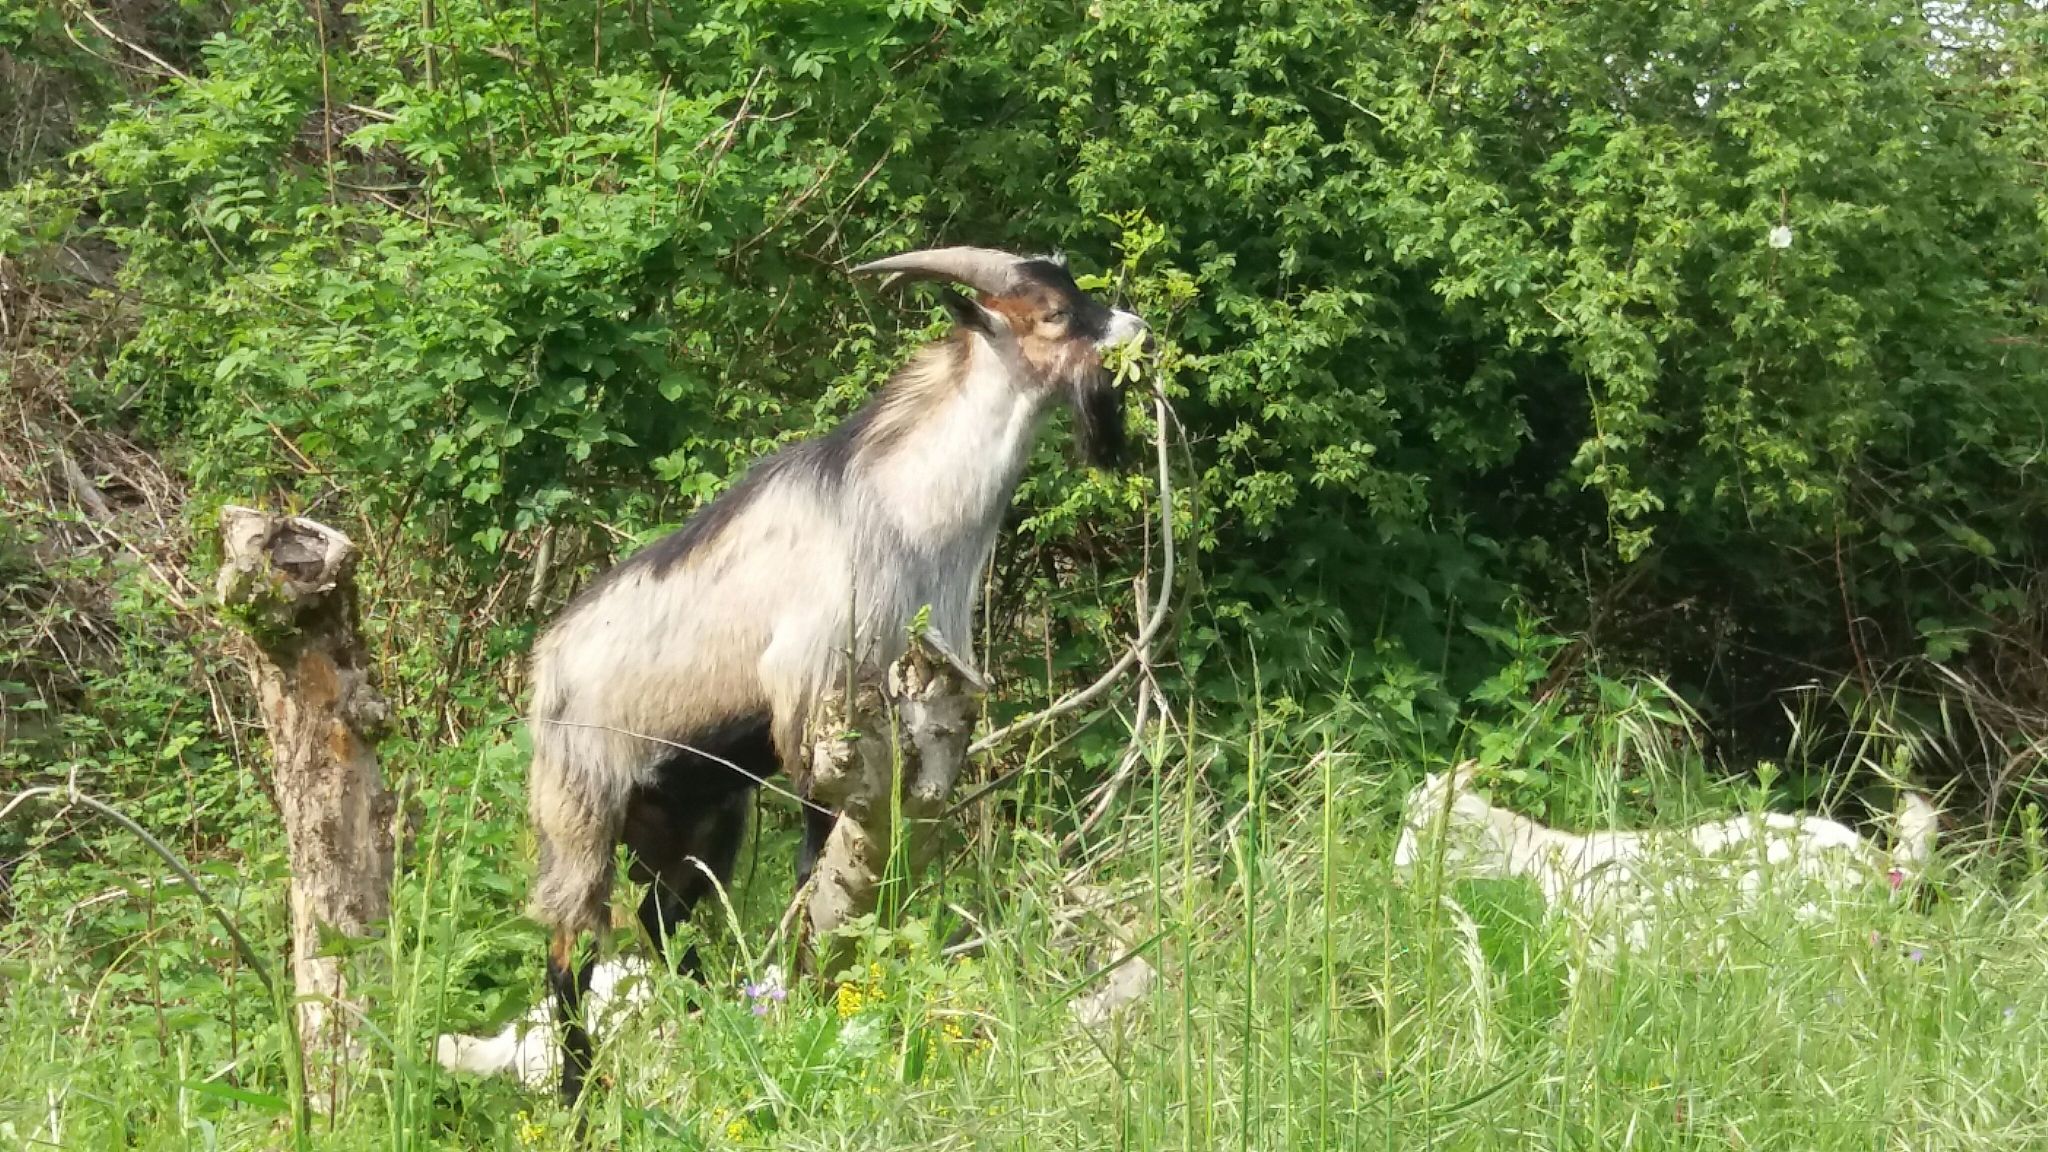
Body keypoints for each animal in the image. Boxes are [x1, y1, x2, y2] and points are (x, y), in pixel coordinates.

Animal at [525, 246, 1150, 1104]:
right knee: (570, 951)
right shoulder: (815, 700)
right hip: (579, 810)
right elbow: (810, 860)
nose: (1135, 327)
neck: (904, 510)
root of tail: (543, 667)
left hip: (692, 819)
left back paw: (709, 1029)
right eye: (1055, 314)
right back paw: (580, 1093)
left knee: (664, 924)